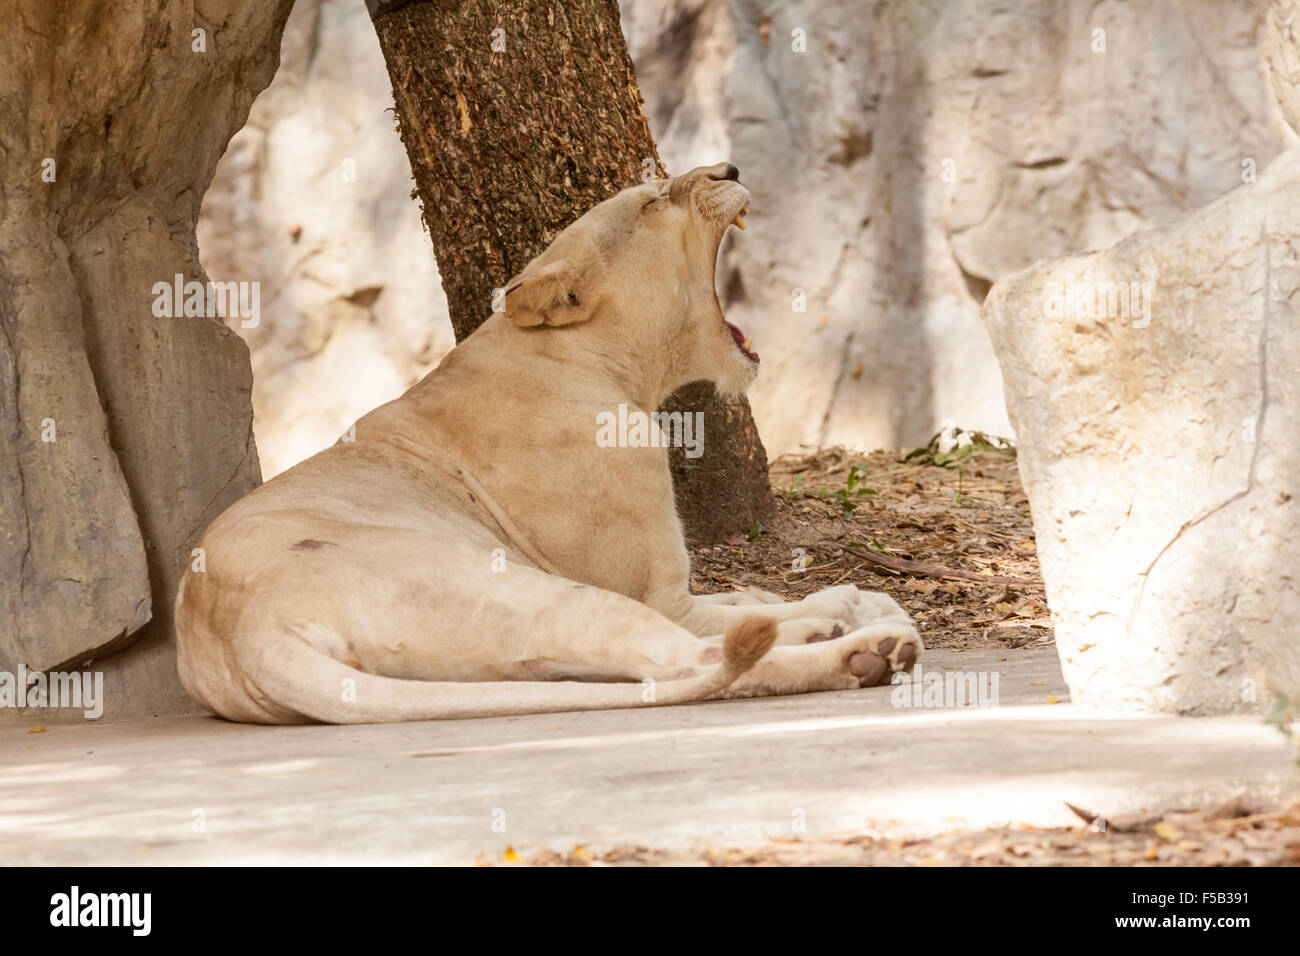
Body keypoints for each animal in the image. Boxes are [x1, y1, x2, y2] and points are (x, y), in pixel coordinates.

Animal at [175, 162, 921, 724]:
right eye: (654, 200)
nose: (729, 169)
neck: (597, 361)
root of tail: (246, 633)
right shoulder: (658, 591)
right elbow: (727, 613)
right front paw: (850, 608)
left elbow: (754, 597)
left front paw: (851, 600)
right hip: (528, 589)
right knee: (691, 660)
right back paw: (866, 651)